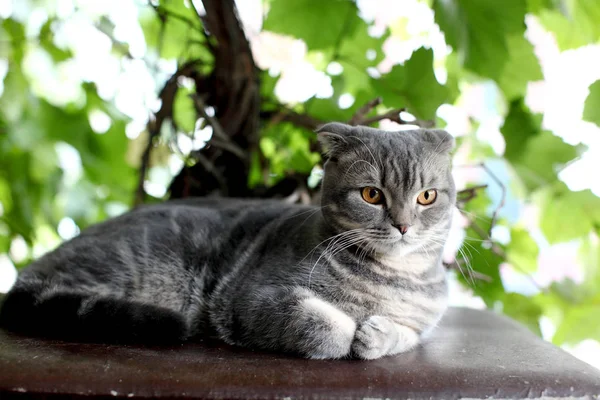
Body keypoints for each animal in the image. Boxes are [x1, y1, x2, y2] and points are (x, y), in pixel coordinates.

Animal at [0, 122, 454, 360]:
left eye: (426, 196)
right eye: (372, 195)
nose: (403, 226)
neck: (390, 280)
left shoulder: (424, 319)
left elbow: (407, 334)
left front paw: (377, 334)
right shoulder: (254, 298)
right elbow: (328, 327)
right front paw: (352, 331)